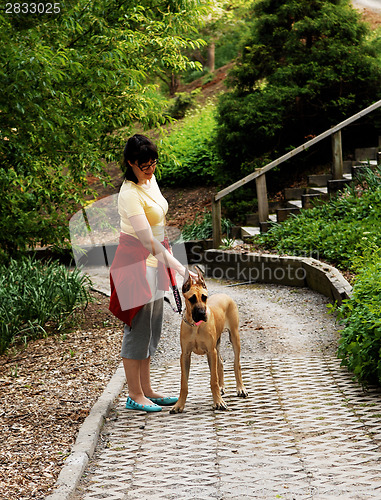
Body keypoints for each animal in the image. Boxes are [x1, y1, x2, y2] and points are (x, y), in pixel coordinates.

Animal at [169, 270, 246, 414]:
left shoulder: (210, 352)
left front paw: (218, 402)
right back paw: (222, 387)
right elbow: (184, 383)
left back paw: (240, 388)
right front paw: (179, 405)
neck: (195, 325)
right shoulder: (185, 355)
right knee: (220, 363)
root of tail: (224, 295)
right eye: (192, 299)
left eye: (204, 297)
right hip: (217, 343)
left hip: (234, 337)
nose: (201, 313)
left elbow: (213, 380)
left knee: (236, 364)